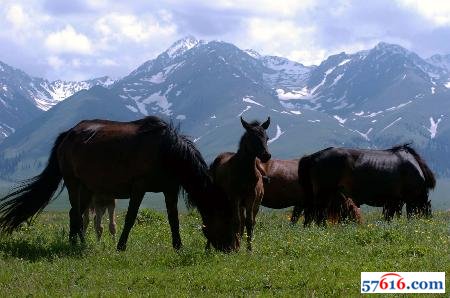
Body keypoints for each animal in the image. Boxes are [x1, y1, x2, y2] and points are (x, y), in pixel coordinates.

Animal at [0, 116, 236, 251]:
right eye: (225, 218)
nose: (230, 248)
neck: (166, 151)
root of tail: (67, 134)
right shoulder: (139, 188)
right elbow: (130, 218)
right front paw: (121, 246)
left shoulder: (170, 190)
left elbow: (173, 220)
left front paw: (178, 247)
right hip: (73, 183)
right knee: (76, 213)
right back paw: (78, 245)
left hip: (87, 188)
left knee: (76, 214)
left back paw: (77, 243)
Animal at [211, 117, 270, 250]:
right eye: (252, 137)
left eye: (267, 137)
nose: (266, 155)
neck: (244, 172)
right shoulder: (235, 197)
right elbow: (236, 221)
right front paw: (235, 248)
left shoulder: (251, 197)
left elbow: (249, 222)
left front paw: (249, 249)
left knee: (244, 220)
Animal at [298, 143, 436, 225]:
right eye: (428, 211)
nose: (429, 221)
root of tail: (312, 157)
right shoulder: (406, 200)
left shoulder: (394, 201)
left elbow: (389, 217)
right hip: (324, 193)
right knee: (318, 214)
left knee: (310, 214)